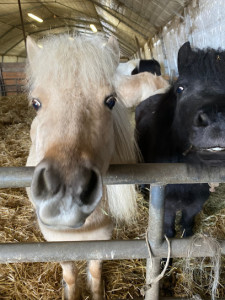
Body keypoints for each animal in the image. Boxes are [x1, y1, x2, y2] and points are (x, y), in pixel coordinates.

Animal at [25, 34, 138, 300]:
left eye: (110, 100)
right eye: (36, 103)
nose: (66, 193)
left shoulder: (102, 237)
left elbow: (95, 274)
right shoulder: (56, 239)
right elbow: (70, 275)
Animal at [134, 42, 225, 238]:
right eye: (180, 88)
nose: (218, 121)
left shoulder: (196, 203)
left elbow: (187, 222)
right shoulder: (166, 204)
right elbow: (168, 225)